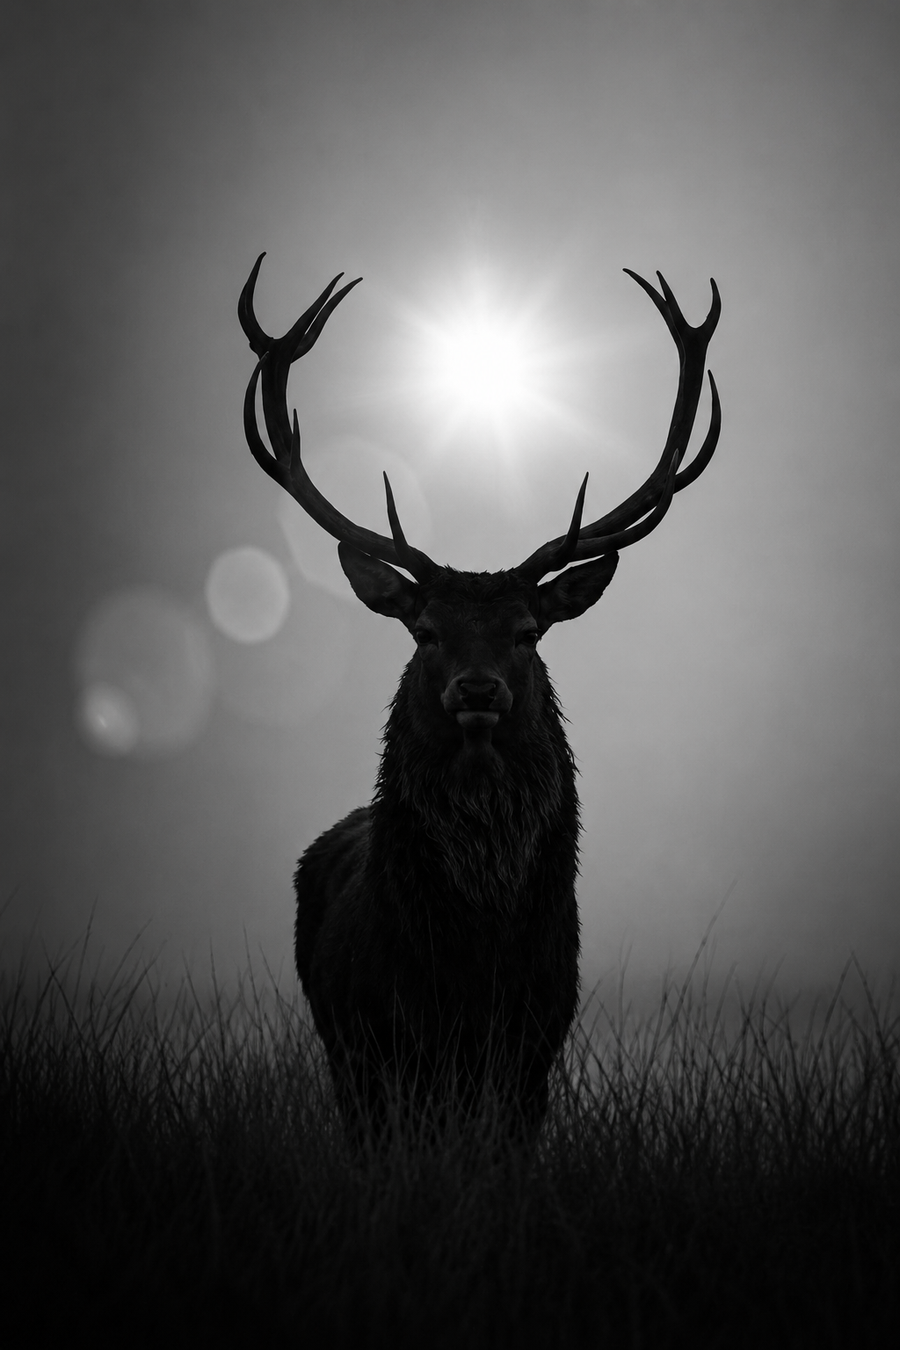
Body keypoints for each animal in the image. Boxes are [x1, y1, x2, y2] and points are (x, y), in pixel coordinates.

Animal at [238, 255, 721, 1145]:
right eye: (425, 630)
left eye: (529, 632)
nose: (477, 687)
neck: (476, 954)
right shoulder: (389, 1035)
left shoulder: (537, 1037)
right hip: (338, 1044)